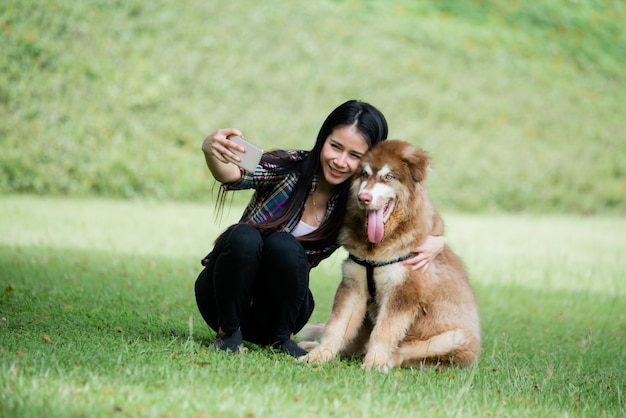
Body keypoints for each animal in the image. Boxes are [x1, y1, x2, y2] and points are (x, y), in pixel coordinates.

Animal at [300, 140, 480, 372]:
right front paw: (319, 355)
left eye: (389, 176)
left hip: (452, 338)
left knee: (402, 353)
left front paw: (374, 363)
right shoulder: (353, 286)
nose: (363, 198)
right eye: (364, 174)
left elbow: (383, 332)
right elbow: (336, 326)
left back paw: (381, 362)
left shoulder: (403, 293)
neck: (376, 249)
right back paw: (312, 346)